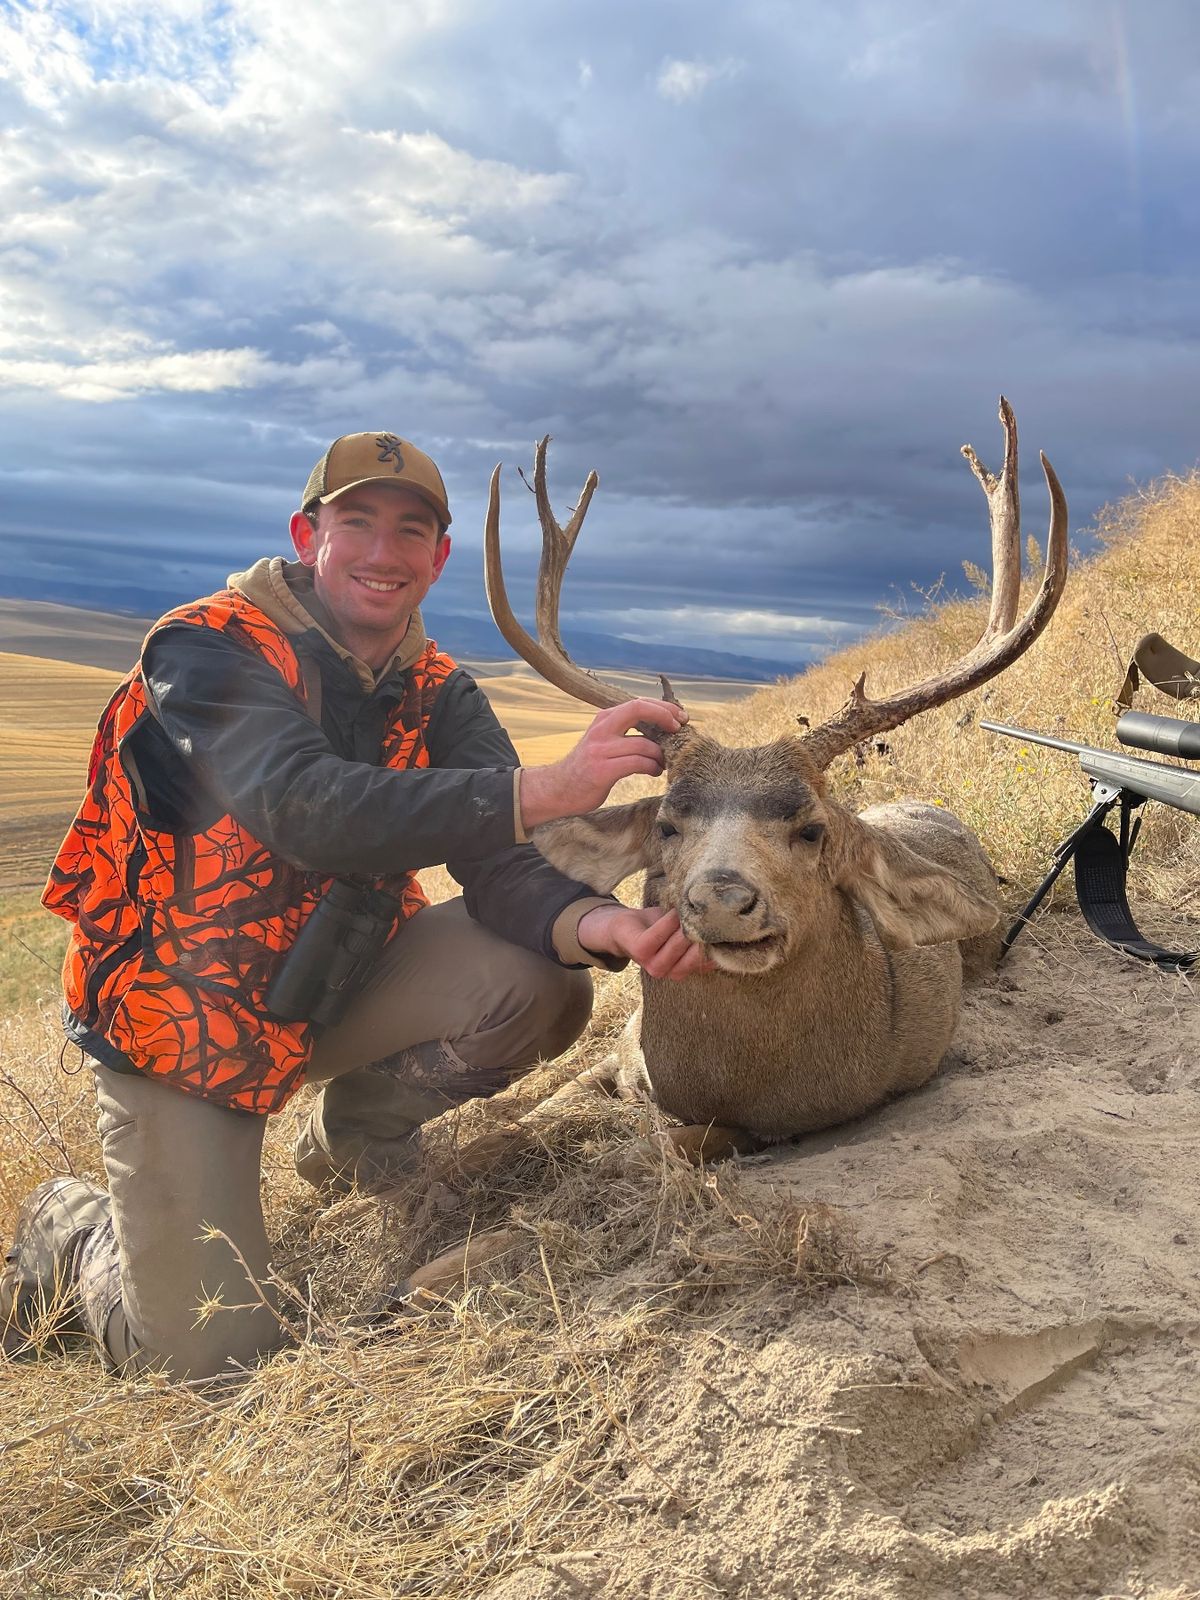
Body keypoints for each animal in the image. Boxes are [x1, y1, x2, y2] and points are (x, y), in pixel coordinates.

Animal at [479, 399, 1068, 1163]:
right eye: (666, 824)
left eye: (812, 828)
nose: (723, 899)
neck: (714, 1078)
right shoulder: (620, 1050)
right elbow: (522, 1118)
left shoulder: (774, 1125)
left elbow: (650, 1147)